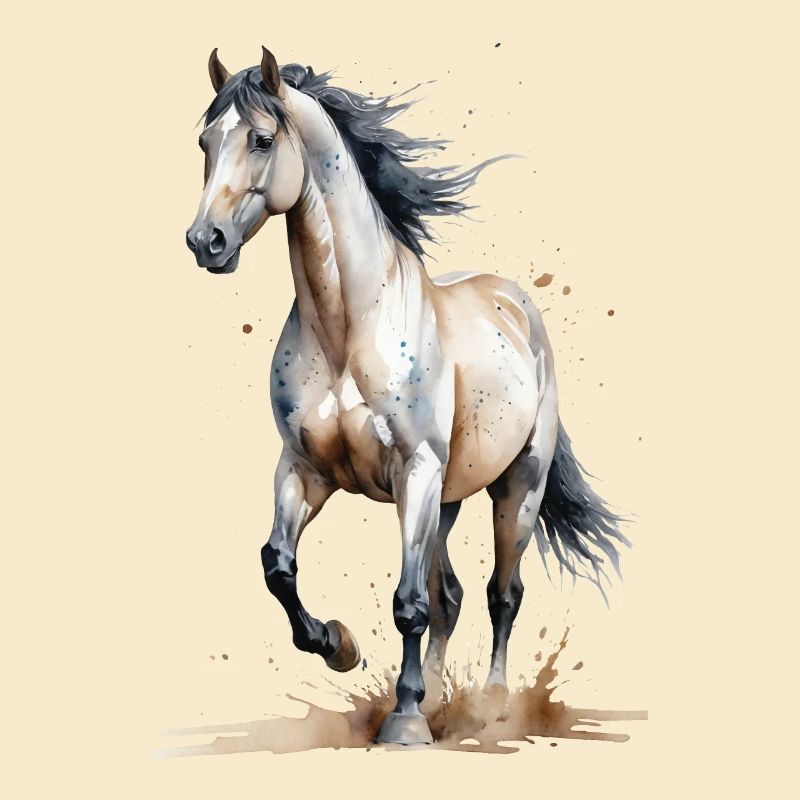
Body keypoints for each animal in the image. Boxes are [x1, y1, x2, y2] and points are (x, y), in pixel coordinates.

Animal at [185, 47, 629, 745]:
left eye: (261, 139)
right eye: (204, 141)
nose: (206, 242)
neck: (349, 328)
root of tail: (516, 304)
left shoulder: (414, 471)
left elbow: (408, 604)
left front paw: (405, 721)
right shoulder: (305, 470)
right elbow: (278, 566)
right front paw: (338, 645)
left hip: (516, 486)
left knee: (501, 593)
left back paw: (488, 704)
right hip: (446, 498)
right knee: (450, 597)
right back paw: (442, 697)